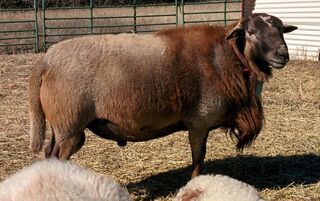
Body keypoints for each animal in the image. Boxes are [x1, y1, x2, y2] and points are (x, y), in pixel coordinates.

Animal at [28, 12, 296, 177]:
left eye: (282, 31)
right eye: (250, 32)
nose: (283, 55)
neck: (224, 56)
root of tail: (45, 61)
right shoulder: (199, 121)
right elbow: (198, 159)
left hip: (61, 127)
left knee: (48, 155)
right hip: (70, 126)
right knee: (57, 157)